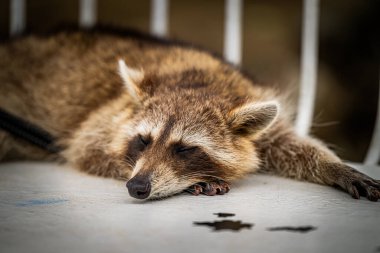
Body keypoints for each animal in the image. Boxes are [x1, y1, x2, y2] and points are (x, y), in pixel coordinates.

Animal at [0, 28, 378, 201]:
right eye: (143, 141)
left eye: (184, 148)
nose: (136, 187)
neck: (200, 82)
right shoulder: (106, 118)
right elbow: (86, 148)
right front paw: (195, 181)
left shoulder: (253, 106)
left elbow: (291, 144)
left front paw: (334, 166)